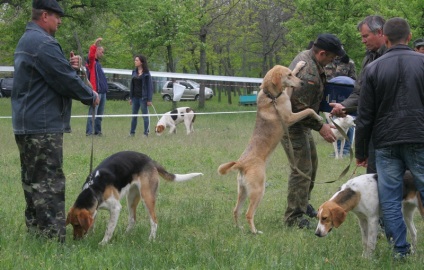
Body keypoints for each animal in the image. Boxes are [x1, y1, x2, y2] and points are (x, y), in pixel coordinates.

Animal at [66, 151, 204, 244]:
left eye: (77, 224)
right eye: (72, 224)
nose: (75, 240)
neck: (93, 189)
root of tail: (150, 160)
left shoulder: (115, 208)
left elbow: (109, 228)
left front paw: (103, 243)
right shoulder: (95, 210)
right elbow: (92, 224)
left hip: (147, 197)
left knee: (154, 221)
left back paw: (151, 239)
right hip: (131, 197)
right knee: (133, 219)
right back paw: (125, 236)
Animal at [219, 61, 322, 234]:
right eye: (288, 76)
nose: (302, 83)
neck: (271, 96)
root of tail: (241, 163)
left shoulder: (286, 96)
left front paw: (300, 65)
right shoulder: (290, 117)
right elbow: (309, 109)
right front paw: (319, 117)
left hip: (243, 191)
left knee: (236, 211)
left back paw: (240, 229)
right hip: (258, 191)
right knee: (248, 213)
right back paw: (255, 232)